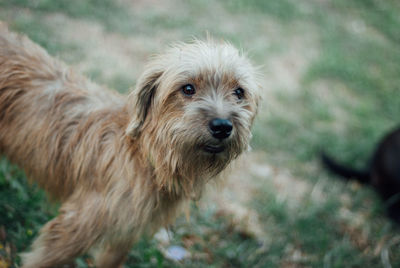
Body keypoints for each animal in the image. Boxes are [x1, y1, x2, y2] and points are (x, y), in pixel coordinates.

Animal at [0, 23, 260, 268]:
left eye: (239, 92)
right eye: (188, 88)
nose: (222, 126)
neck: (145, 157)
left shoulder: (124, 235)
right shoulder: (73, 229)